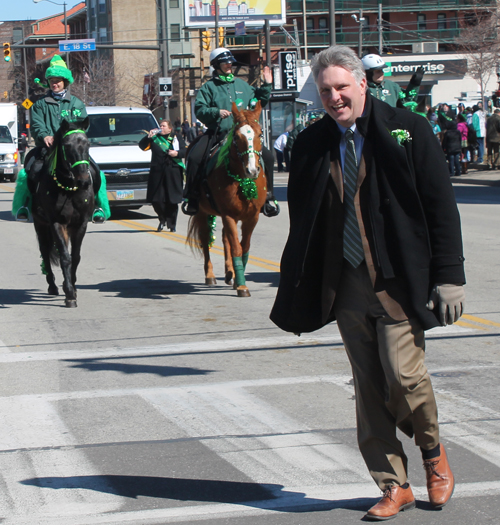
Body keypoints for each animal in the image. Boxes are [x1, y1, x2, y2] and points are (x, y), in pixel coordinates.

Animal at [32, 117, 97, 308]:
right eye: (67, 146)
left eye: (88, 143)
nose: (84, 181)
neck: (69, 188)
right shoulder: (56, 222)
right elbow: (65, 257)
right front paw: (69, 294)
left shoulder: (81, 223)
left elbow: (75, 257)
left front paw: (73, 288)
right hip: (40, 223)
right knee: (45, 251)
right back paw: (53, 286)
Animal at [187, 102, 268, 296]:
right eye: (237, 136)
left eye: (260, 133)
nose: (252, 170)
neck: (242, 180)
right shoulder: (229, 215)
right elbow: (236, 247)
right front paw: (242, 286)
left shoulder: (252, 217)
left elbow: (244, 247)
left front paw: (238, 280)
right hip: (202, 212)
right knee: (205, 239)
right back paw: (210, 276)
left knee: (225, 239)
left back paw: (230, 273)